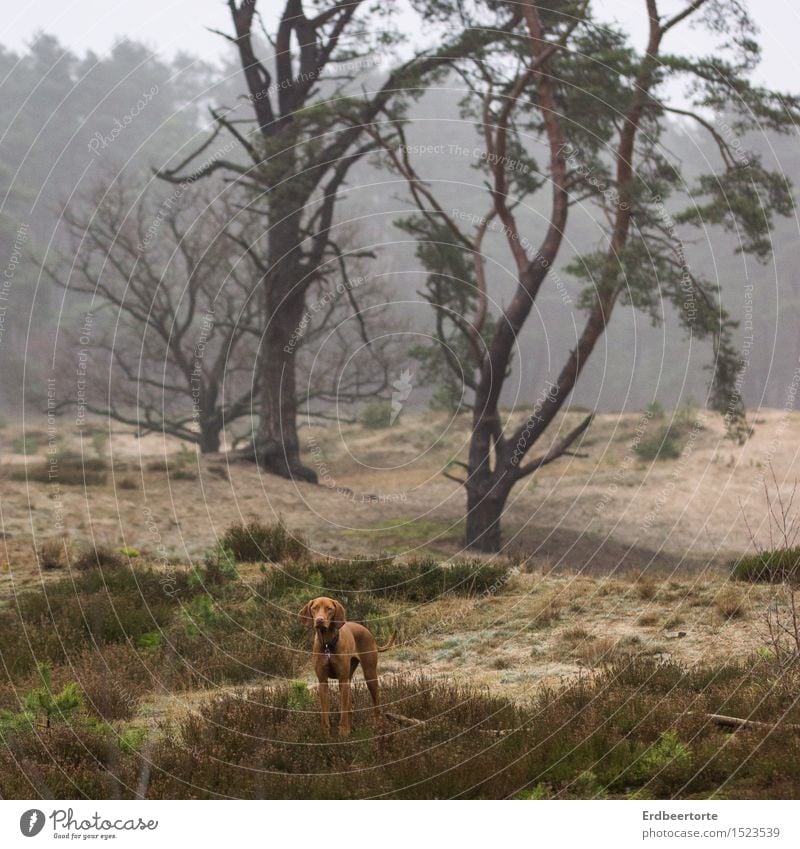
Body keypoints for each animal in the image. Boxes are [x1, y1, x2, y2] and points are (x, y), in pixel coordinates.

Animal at [298, 596, 398, 736]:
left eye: (329, 609)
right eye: (314, 608)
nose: (319, 620)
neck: (328, 645)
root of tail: (366, 630)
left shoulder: (342, 680)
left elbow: (343, 709)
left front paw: (343, 732)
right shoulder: (322, 682)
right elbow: (325, 711)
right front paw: (325, 734)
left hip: (370, 675)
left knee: (376, 704)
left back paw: (378, 726)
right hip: (350, 677)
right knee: (350, 707)